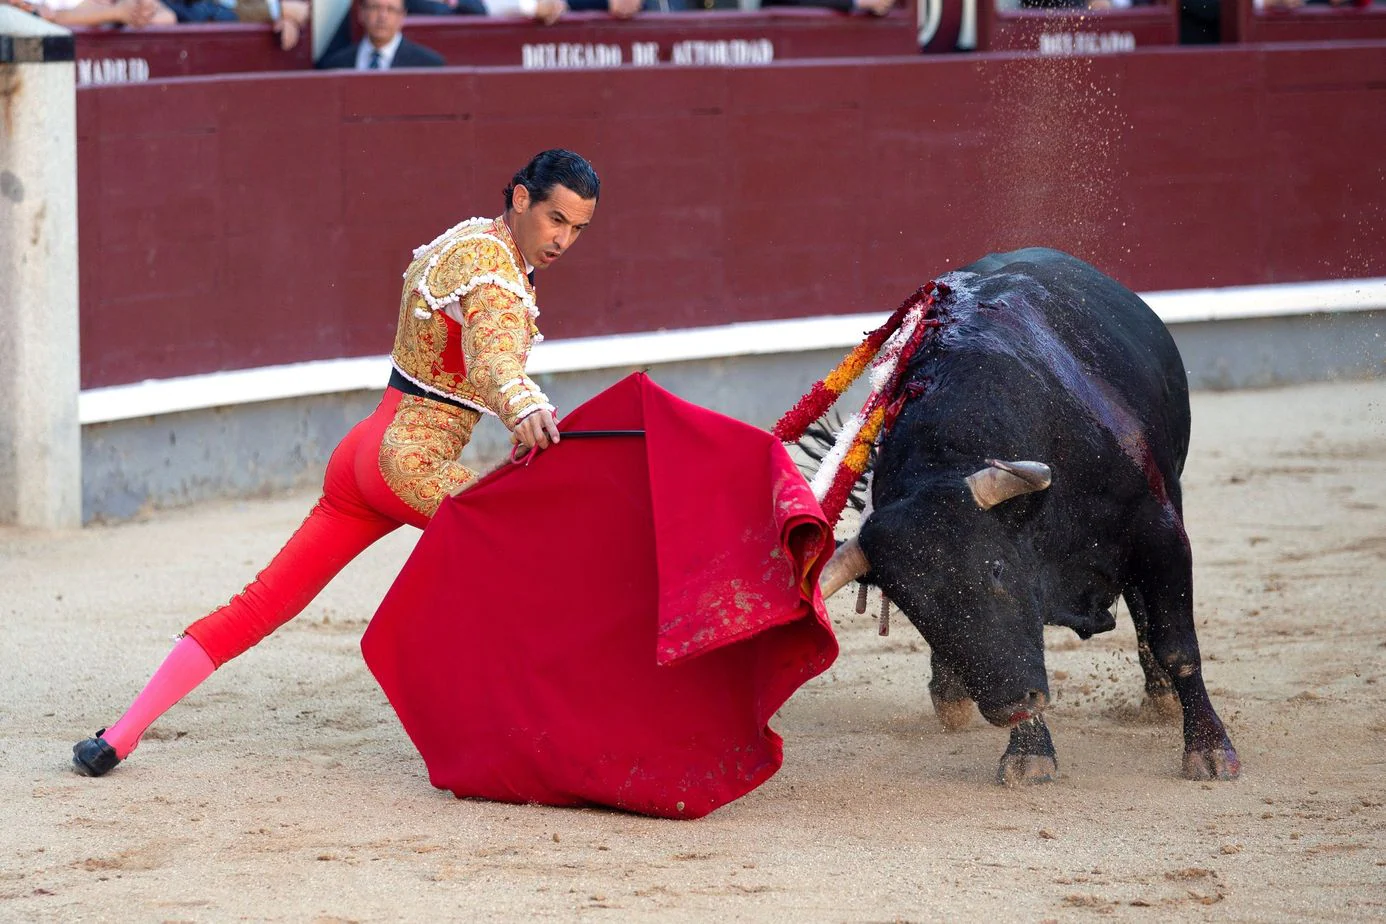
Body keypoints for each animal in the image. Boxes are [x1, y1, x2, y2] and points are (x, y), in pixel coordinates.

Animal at [814, 247, 1241, 786]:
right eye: (915, 610)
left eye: (996, 568)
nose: (1009, 704)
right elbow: (1020, 644)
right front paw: (1029, 752)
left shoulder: (1158, 531)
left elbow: (1178, 645)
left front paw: (1210, 750)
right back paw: (950, 693)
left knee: (1146, 609)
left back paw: (1161, 695)